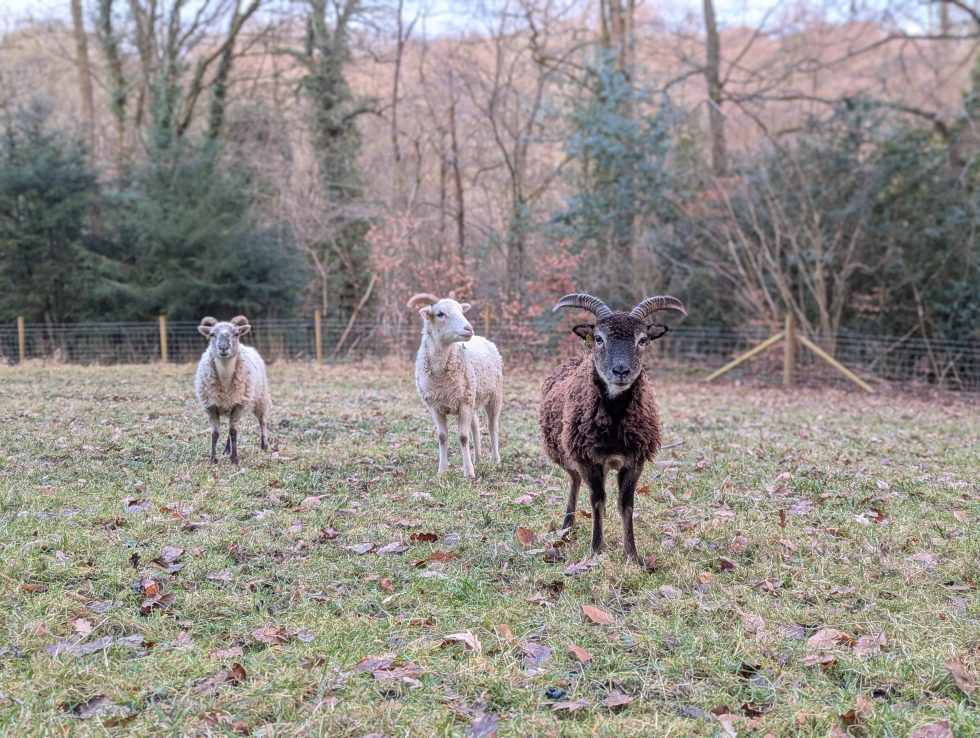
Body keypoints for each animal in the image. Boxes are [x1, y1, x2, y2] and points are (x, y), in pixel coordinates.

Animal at [194, 315, 270, 464]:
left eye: (236, 334)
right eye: (212, 334)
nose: (223, 348)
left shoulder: (238, 405)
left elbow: (234, 432)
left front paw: (234, 459)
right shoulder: (211, 407)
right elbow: (215, 433)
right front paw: (213, 459)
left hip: (261, 398)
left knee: (262, 421)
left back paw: (264, 445)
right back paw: (226, 449)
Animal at [408, 293, 503, 479]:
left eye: (461, 310)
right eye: (440, 314)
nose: (469, 329)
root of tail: (483, 338)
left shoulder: (464, 403)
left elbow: (463, 437)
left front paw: (468, 472)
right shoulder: (435, 405)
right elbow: (442, 436)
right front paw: (442, 470)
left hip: (494, 395)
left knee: (492, 427)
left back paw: (495, 459)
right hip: (473, 394)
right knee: (475, 424)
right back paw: (478, 457)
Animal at [539, 293, 686, 563]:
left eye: (643, 340)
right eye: (599, 338)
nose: (620, 371)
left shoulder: (634, 461)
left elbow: (626, 504)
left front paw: (633, 555)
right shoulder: (589, 459)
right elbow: (596, 500)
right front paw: (597, 549)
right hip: (565, 452)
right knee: (574, 481)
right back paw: (566, 528)